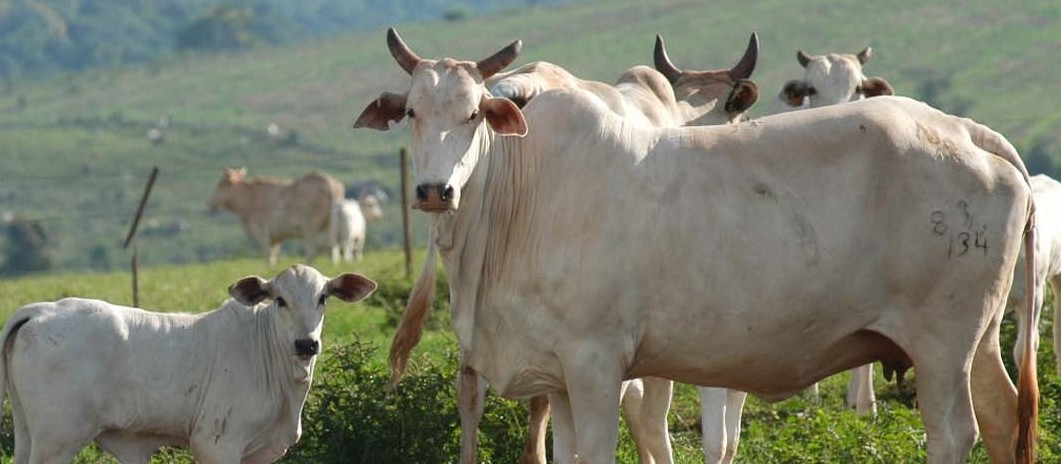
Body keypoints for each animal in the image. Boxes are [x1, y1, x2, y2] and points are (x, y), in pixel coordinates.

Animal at [0, 262, 377, 460]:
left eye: (323, 298)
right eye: (280, 300)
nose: (306, 343)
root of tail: (41, 310)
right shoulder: (217, 445)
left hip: (28, 433)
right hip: (57, 440)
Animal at [360, 28, 1039, 462]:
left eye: (474, 112)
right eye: (413, 112)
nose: (434, 190)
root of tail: (966, 131)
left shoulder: (597, 365)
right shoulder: (556, 379)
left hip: (942, 346)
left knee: (952, 433)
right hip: (979, 341)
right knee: (1003, 419)